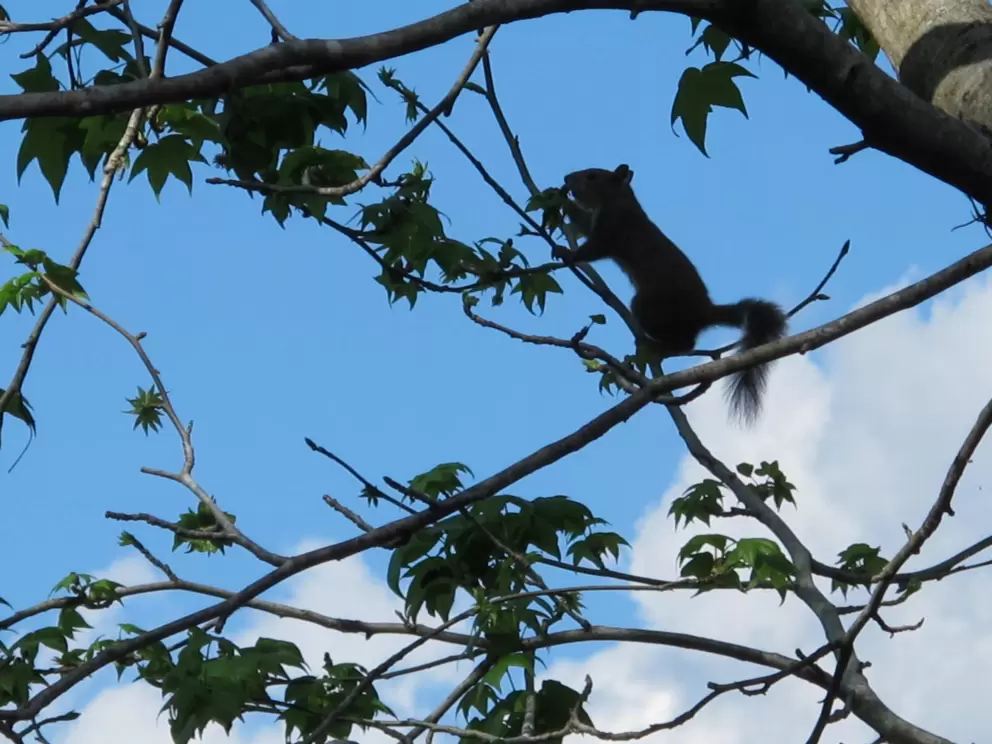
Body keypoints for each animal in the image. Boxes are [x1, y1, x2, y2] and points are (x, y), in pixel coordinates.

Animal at [559, 163, 787, 425]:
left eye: (592, 176)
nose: (566, 179)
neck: (617, 200)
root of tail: (704, 313)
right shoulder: (596, 221)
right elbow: (583, 223)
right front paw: (559, 199)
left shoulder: (613, 228)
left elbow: (592, 249)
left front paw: (565, 251)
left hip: (649, 306)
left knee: (686, 343)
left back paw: (658, 347)